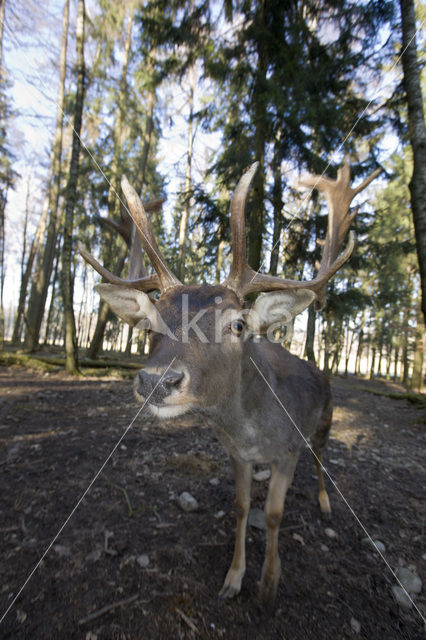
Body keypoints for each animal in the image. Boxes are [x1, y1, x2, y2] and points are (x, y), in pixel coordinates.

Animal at [80, 160, 380, 604]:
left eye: (237, 324)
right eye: (149, 325)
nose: (157, 380)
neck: (252, 430)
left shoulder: (288, 449)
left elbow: (273, 514)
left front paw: (269, 582)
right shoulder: (234, 453)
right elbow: (240, 508)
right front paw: (234, 578)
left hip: (324, 422)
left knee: (321, 458)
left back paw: (326, 502)